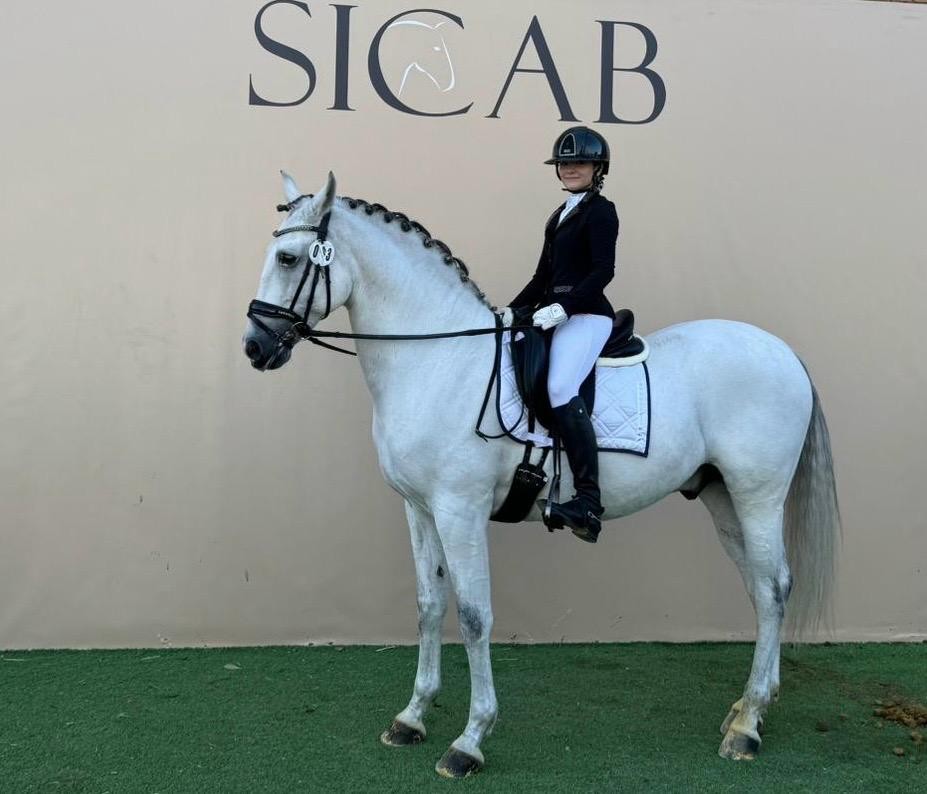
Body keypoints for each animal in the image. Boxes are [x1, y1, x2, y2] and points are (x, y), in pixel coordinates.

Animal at [241, 172, 840, 772]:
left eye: (289, 258)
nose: (254, 347)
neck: (438, 362)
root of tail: (782, 352)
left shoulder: (460, 510)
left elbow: (474, 615)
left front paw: (470, 740)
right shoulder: (419, 508)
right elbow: (429, 606)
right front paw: (411, 718)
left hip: (758, 495)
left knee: (773, 587)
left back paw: (747, 727)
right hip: (722, 497)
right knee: (761, 587)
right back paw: (750, 707)